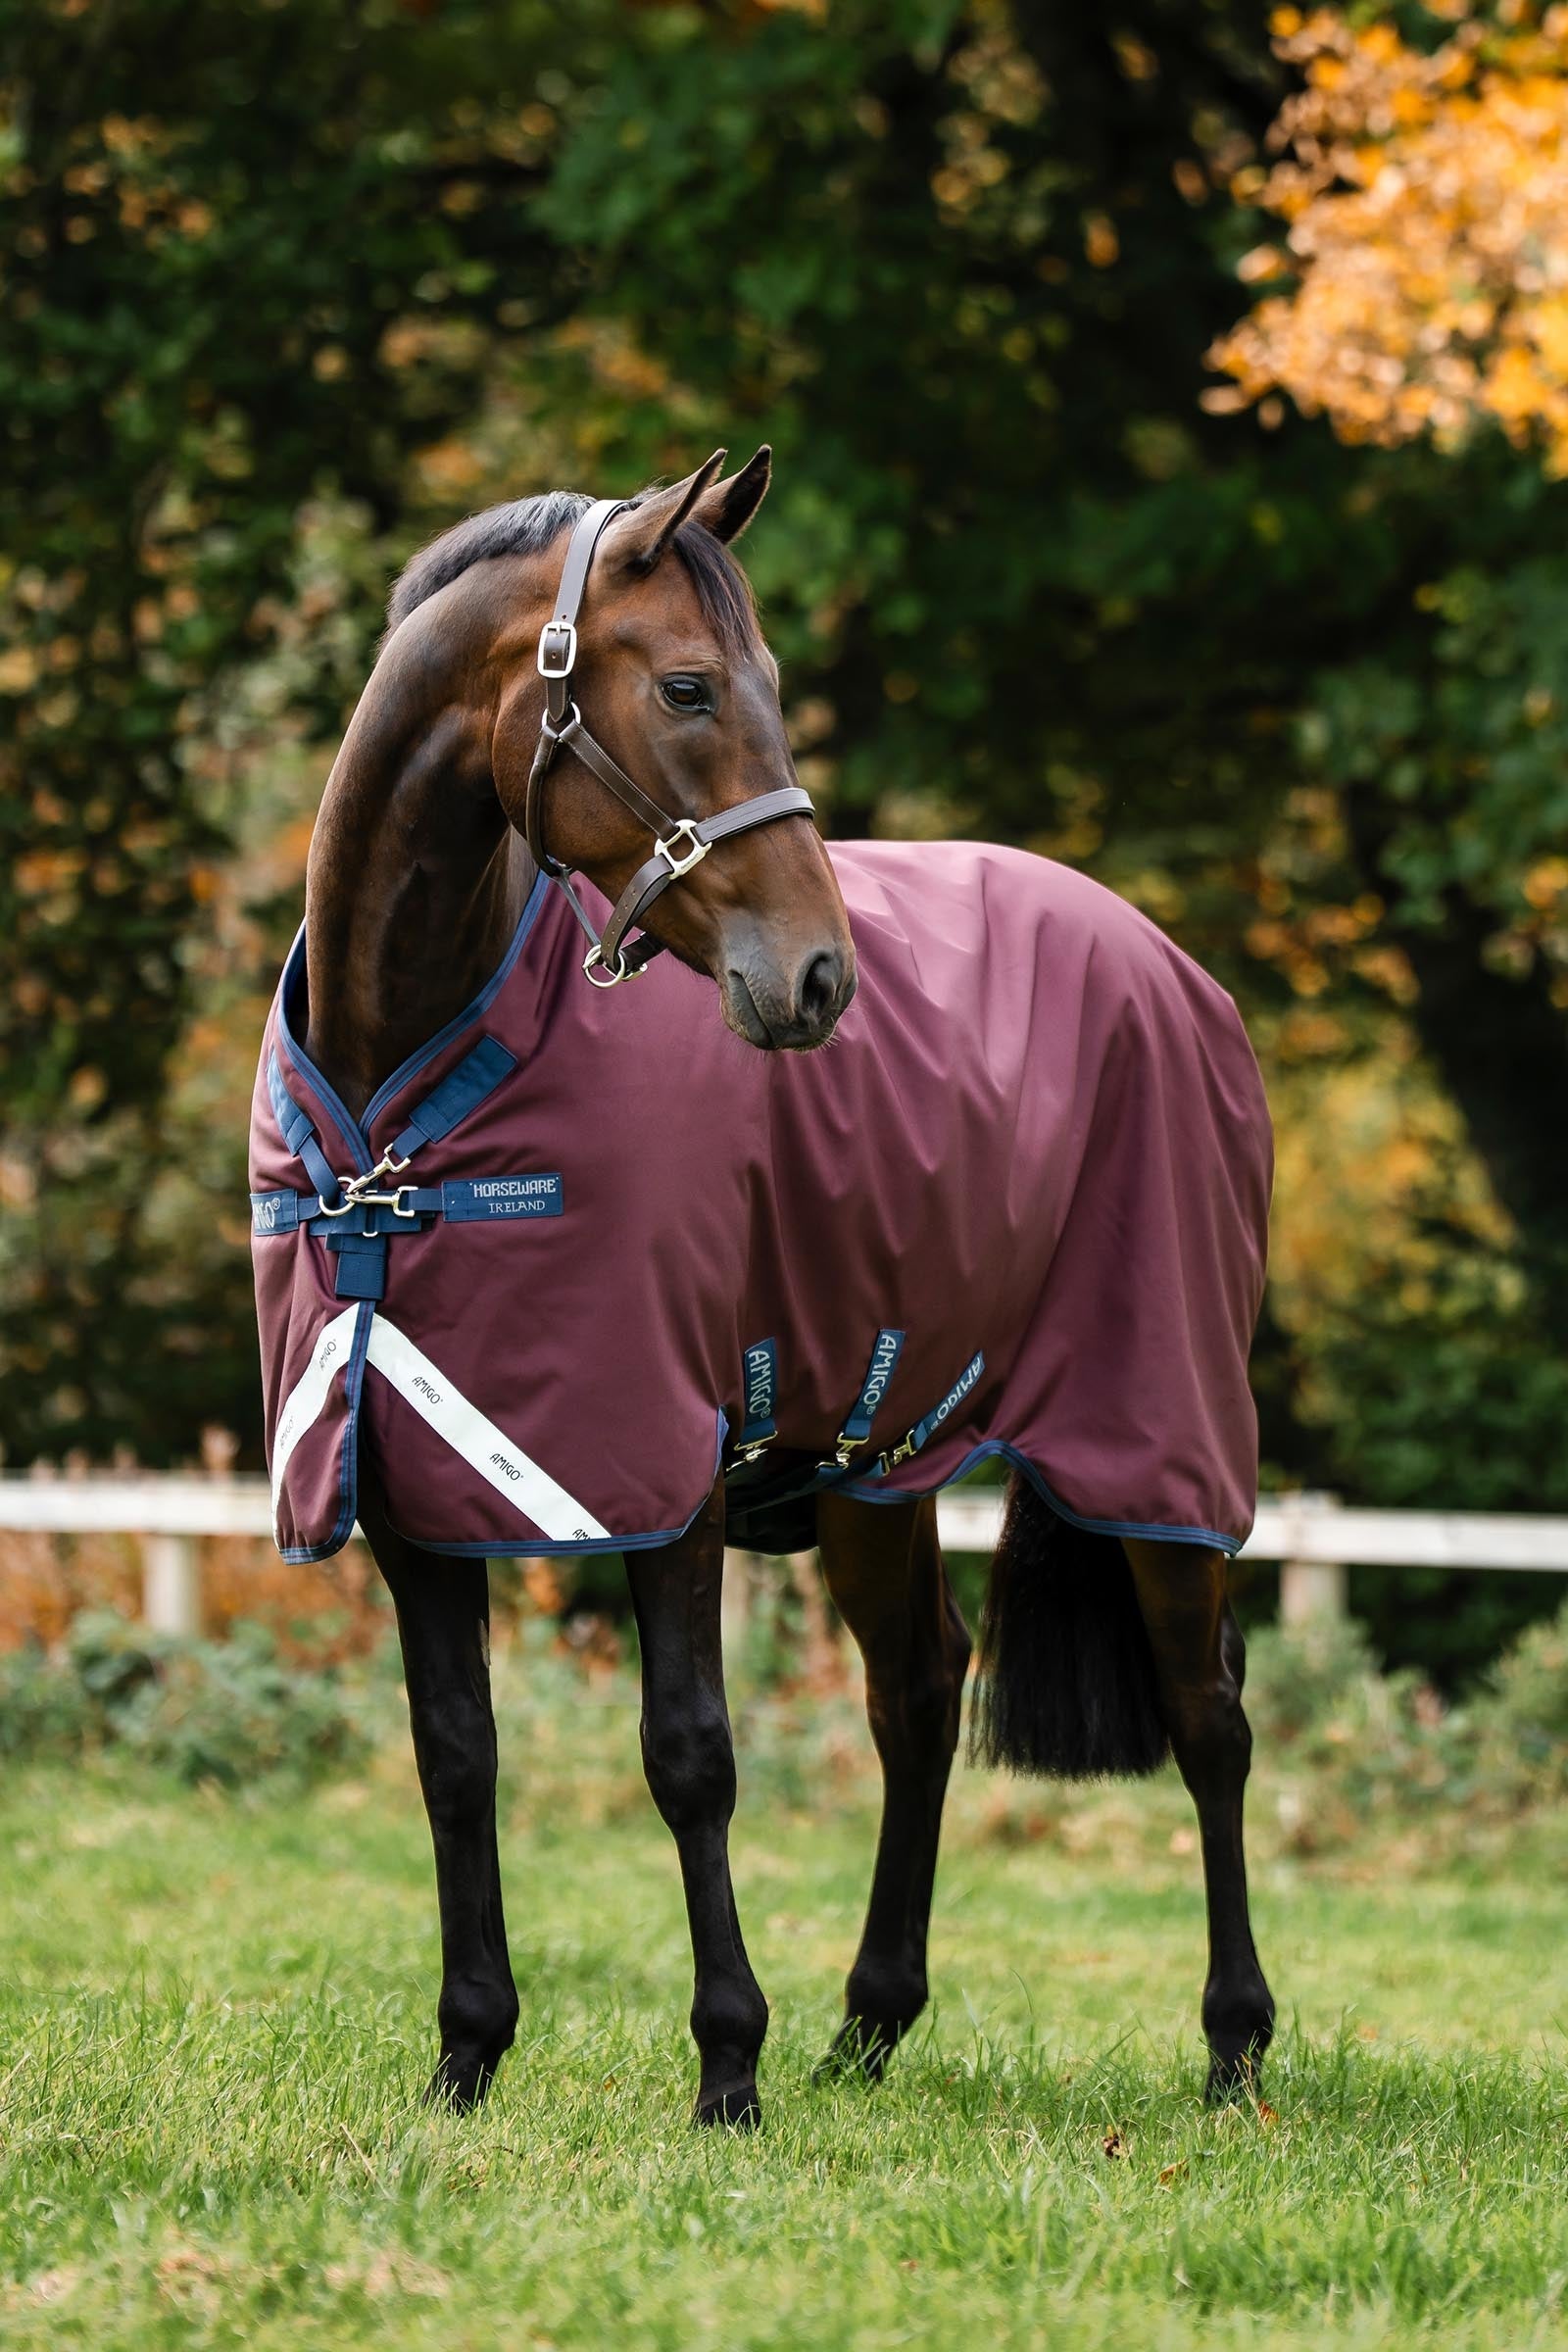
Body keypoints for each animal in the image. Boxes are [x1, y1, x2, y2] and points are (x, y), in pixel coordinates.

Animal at [249, 447, 1275, 2128]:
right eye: (685, 685)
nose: (817, 980)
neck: (406, 1100)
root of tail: (1164, 962)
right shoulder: (407, 1477)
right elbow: (455, 1751)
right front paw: (469, 2052)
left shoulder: (659, 1469)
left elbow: (689, 1754)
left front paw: (727, 2061)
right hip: (876, 1458)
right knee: (919, 1692)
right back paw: (870, 2024)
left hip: (1159, 1434)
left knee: (1210, 1718)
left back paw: (1236, 2045)